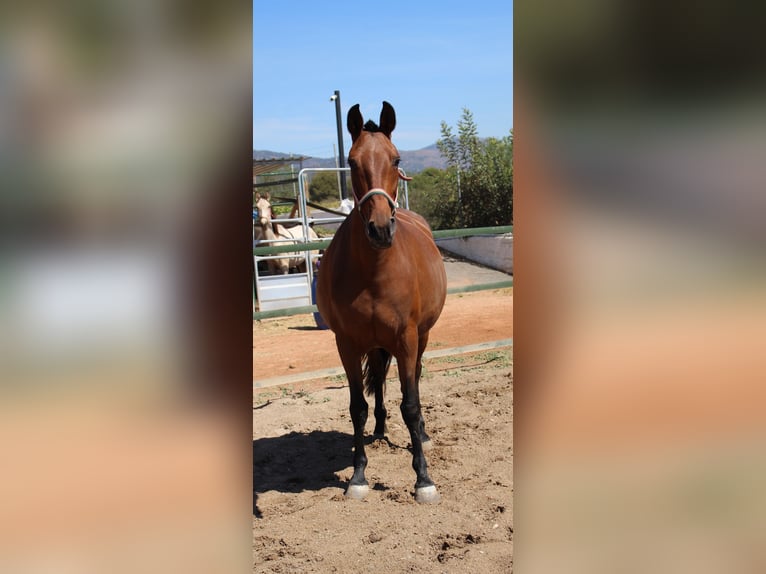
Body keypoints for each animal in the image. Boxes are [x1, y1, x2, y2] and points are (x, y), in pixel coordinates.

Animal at [316, 102, 447, 504]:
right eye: (352, 161)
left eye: (396, 158)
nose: (379, 230)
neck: (374, 271)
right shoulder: (347, 343)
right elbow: (356, 406)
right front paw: (358, 476)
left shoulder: (406, 338)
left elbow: (411, 403)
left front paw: (423, 479)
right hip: (374, 344)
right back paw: (378, 429)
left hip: (421, 338)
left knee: (414, 380)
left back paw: (422, 434)